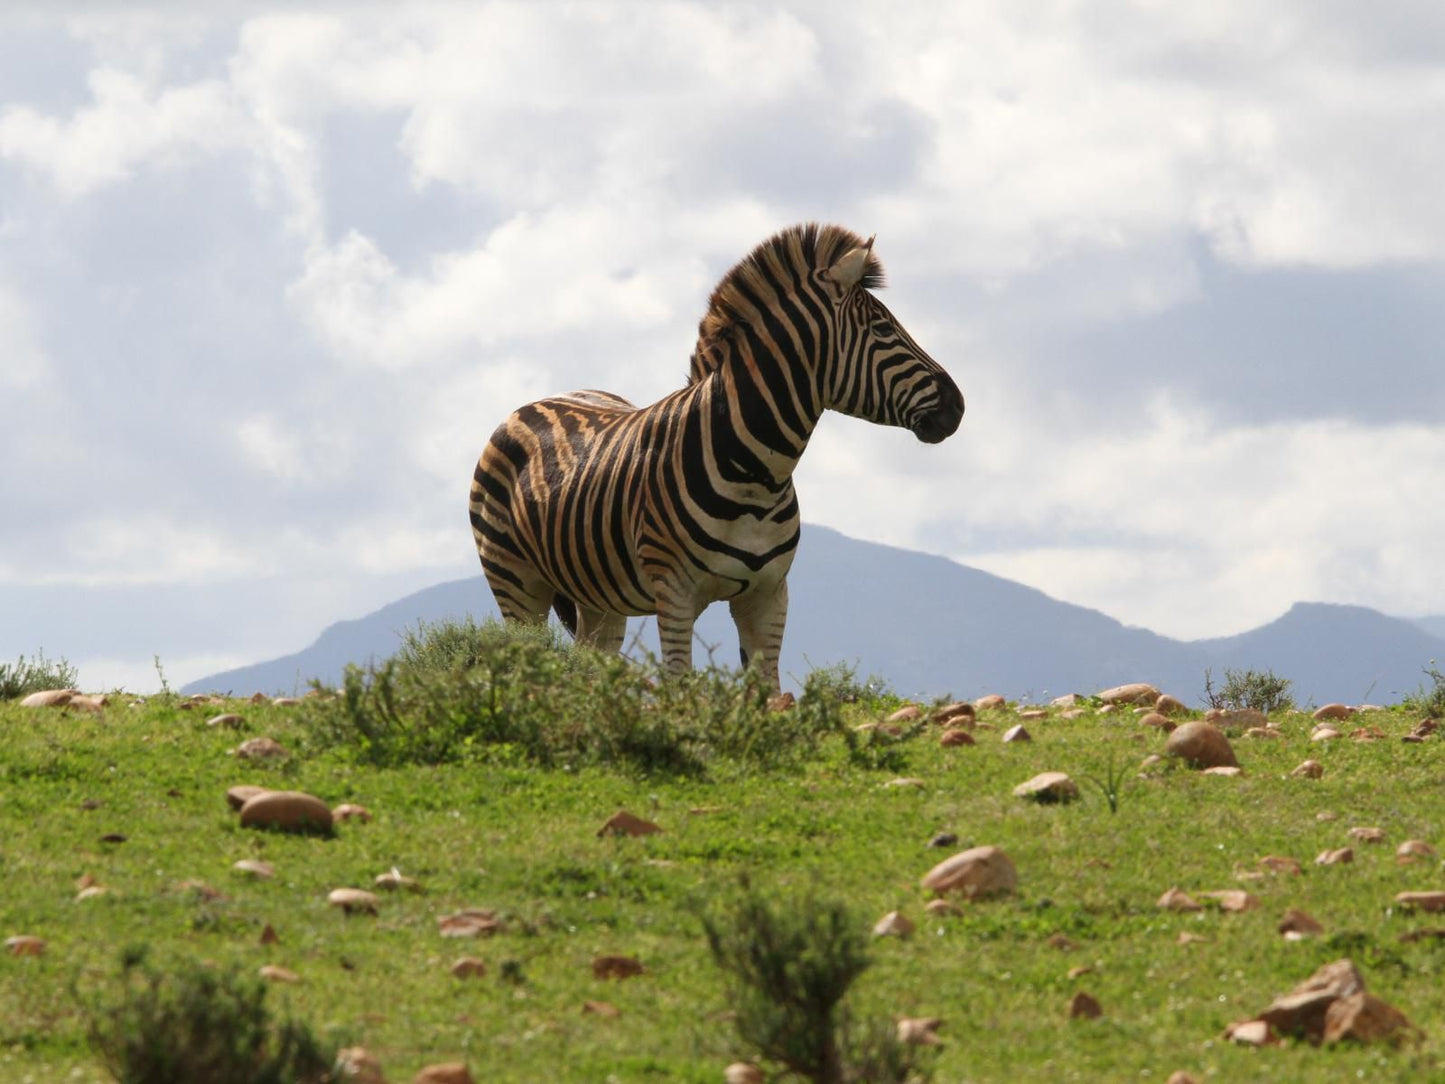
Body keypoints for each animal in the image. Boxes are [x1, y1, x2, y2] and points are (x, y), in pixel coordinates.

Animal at [473, 224, 965, 690]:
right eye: (883, 329)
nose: (957, 406)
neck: (758, 475)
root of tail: (533, 403)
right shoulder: (674, 594)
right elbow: (680, 684)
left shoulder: (768, 595)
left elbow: (769, 693)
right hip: (515, 583)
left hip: (598, 597)